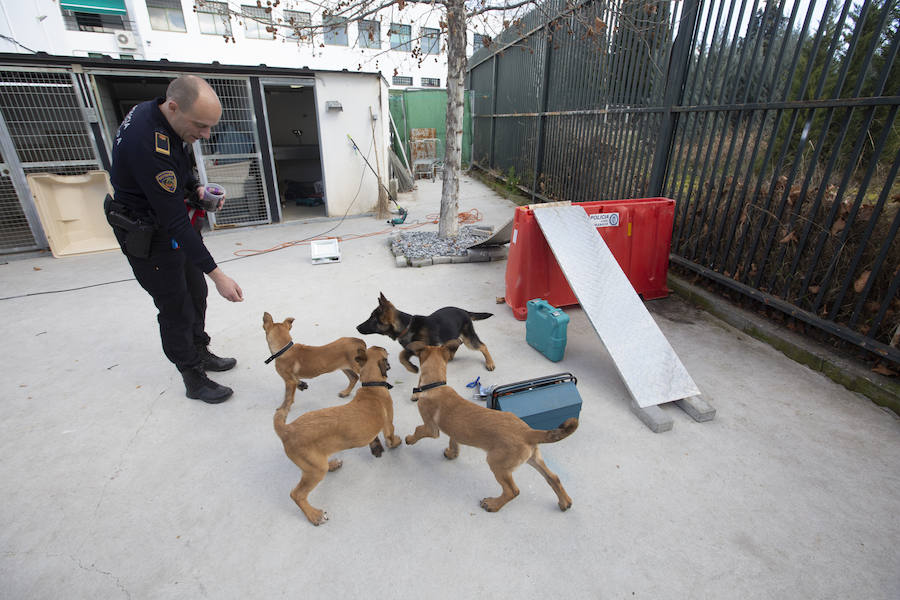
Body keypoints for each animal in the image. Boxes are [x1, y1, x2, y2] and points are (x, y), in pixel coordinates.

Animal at [272, 346, 402, 524]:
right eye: (385, 355)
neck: (371, 386)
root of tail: (287, 429)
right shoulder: (389, 426)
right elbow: (391, 439)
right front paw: (396, 442)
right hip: (315, 471)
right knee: (296, 495)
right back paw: (315, 515)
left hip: (316, 463)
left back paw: (333, 465)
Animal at [356, 292, 496, 372]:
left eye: (372, 319)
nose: (357, 327)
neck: (407, 327)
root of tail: (464, 311)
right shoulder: (411, 349)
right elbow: (401, 356)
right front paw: (412, 368)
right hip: (452, 335)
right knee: (457, 342)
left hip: (468, 339)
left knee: (482, 346)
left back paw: (490, 363)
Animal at [406, 340, 580, 512]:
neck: (436, 385)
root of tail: (528, 432)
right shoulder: (453, 431)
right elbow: (453, 440)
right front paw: (451, 453)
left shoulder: (431, 428)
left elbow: (419, 430)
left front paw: (409, 439)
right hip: (533, 458)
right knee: (553, 477)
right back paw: (565, 502)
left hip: (497, 464)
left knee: (513, 491)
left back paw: (493, 504)